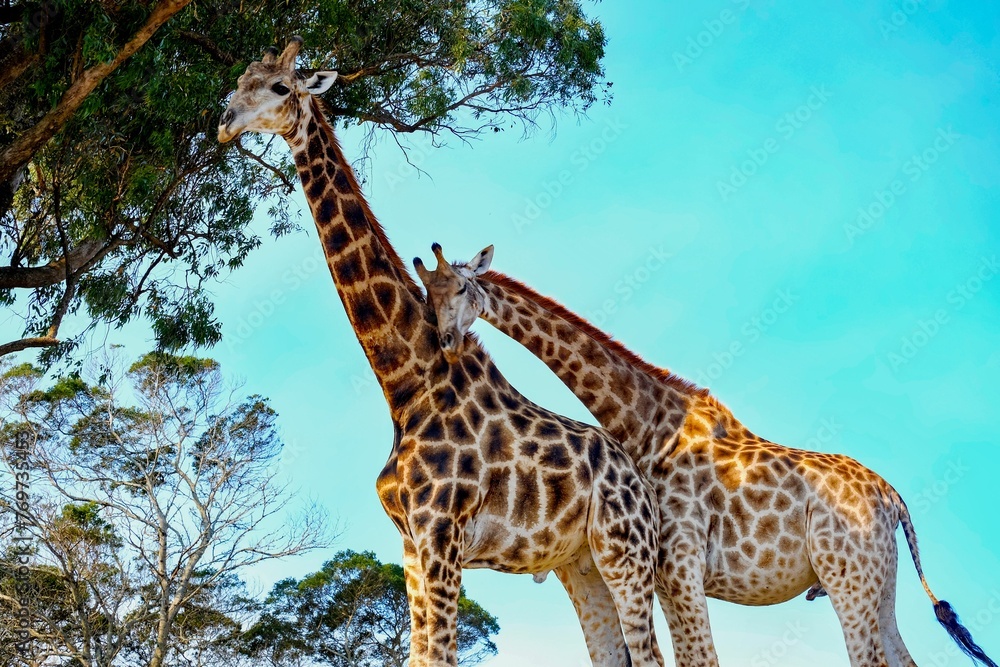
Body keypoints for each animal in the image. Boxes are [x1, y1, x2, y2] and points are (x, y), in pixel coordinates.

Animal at [217, 38, 667, 667]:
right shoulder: (410, 540)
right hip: (580, 563)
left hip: (624, 551)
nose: (225, 122)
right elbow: (421, 655)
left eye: (281, 88)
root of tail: (642, 486)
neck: (406, 383)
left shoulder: (441, 533)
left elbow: (442, 655)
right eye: (239, 81)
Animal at [414, 242, 999, 667]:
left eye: (461, 286)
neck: (646, 427)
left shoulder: (680, 569)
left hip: (847, 578)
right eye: (426, 291)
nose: (444, 338)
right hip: (880, 584)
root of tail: (891, 496)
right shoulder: (669, 578)